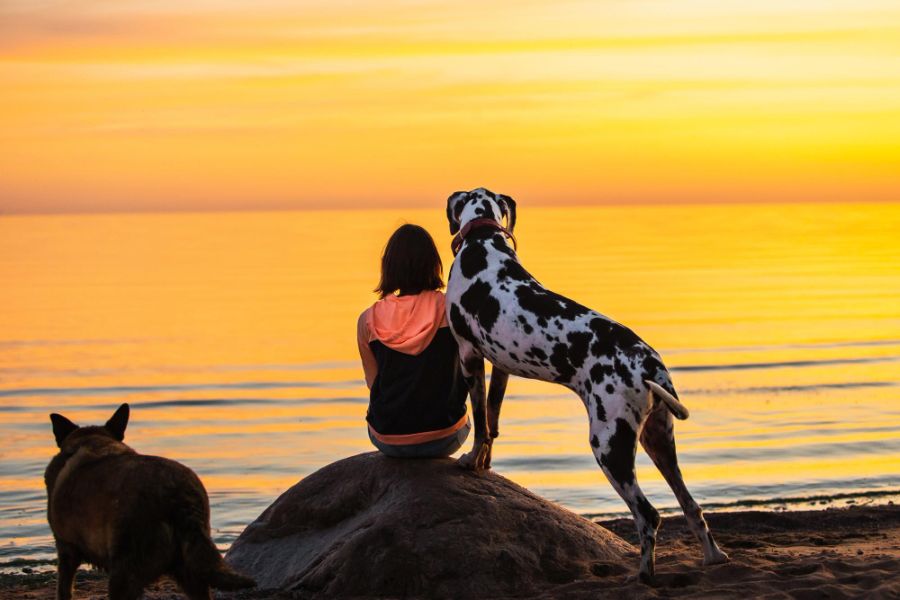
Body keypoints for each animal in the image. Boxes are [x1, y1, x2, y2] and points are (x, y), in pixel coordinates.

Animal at [46, 404, 256, 600]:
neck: (92, 440)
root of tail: (178, 495)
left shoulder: (66, 550)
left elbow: (63, 589)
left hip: (124, 573)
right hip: (192, 570)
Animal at [444, 186, 732, 580]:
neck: (482, 244)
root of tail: (649, 365)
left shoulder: (469, 354)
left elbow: (479, 423)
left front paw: (471, 460)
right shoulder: (500, 364)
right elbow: (492, 421)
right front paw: (485, 462)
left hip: (609, 444)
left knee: (649, 515)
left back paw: (642, 576)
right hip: (658, 438)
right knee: (691, 505)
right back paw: (713, 557)